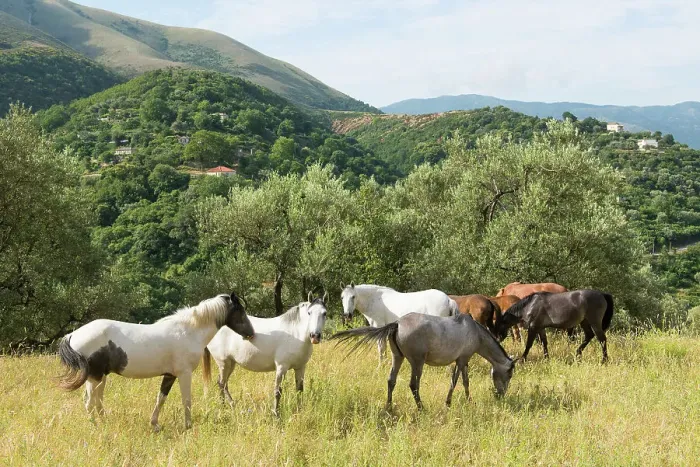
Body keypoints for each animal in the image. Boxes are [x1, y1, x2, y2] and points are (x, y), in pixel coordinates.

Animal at [57, 292, 255, 431]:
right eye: (240, 311)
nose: (251, 333)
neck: (189, 332)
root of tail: (73, 335)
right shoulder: (184, 374)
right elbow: (186, 400)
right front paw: (188, 426)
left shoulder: (170, 375)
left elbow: (161, 398)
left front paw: (155, 424)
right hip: (95, 377)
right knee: (90, 403)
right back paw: (97, 428)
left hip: (99, 378)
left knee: (97, 402)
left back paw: (105, 424)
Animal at [331, 312, 515, 409]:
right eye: (510, 375)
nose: (501, 395)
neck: (475, 332)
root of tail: (397, 323)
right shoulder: (462, 360)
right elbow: (456, 381)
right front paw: (448, 402)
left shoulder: (463, 360)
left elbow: (465, 382)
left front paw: (469, 401)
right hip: (417, 362)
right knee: (413, 384)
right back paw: (421, 407)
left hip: (397, 358)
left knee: (391, 380)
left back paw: (389, 406)